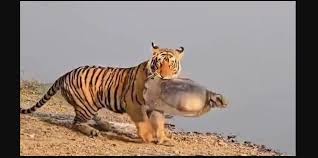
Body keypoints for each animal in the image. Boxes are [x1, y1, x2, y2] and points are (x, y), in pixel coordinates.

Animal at [20, 42, 184, 143]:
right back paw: (93, 131)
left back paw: (105, 125)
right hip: (87, 104)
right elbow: (144, 124)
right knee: (76, 122)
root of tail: (66, 74)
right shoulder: (135, 104)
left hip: (92, 103)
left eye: (171, 65)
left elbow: (159, 123)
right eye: (159, 64)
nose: (164, 76)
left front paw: (163, 139)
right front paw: (149, 138)